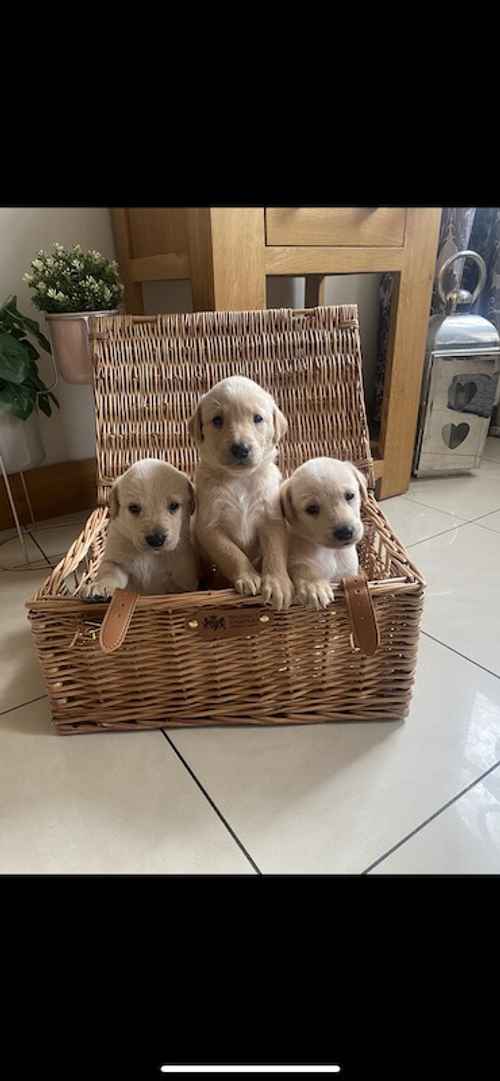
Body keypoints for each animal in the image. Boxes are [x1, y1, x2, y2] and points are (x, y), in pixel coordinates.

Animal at [80, 458, 198, 601]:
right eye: (134, 508)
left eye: (174, 505)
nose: (156, 539)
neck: (150, 555)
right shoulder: (116, 559)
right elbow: (110, 571)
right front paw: (99, 586)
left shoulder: (184, 578)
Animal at [190, 374, 295, 609]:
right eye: (217, 420)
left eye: (257, 418)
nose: (240, 449)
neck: (240, 479)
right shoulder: (209, 527)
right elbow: (231, 553)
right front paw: (247, 577)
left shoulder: (272, 519)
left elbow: (275, 553)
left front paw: (277, 584)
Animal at [280, 454, 367, 609]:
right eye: (312, 508)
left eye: (350, 495)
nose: (345, 532)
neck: (329, 552)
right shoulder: (295, 560)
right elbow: (303, 568)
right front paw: (314, 586)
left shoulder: (349, 571)